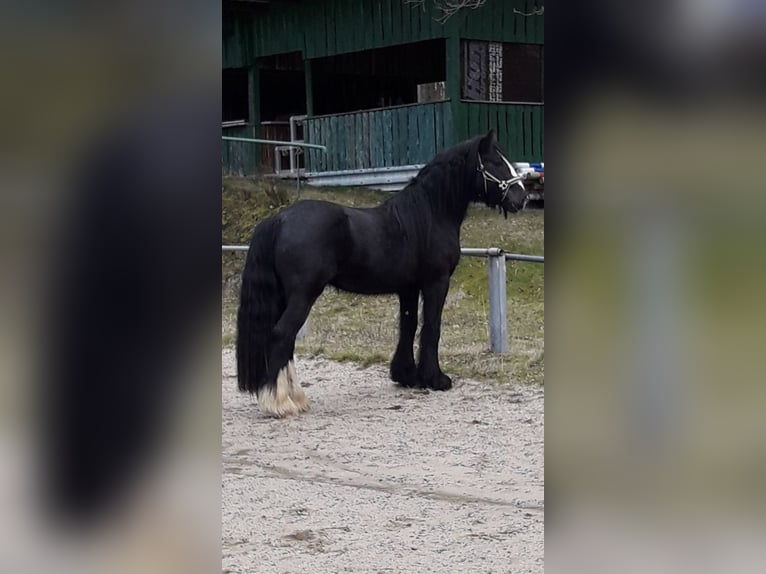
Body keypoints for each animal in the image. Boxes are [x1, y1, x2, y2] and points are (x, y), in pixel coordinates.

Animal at [236, 129, 529, 417]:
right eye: (495, 162)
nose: (522, 198)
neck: (430, 213)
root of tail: (279, 219)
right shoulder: (436, 282)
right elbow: (432, 326)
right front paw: (436, 379)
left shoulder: (408, 287)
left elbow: (408, 325)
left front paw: (407, 375)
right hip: (303, 295)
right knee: (281, 335)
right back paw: (279, 403)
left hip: (284, 297)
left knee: (285, 342)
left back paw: (296, 398)